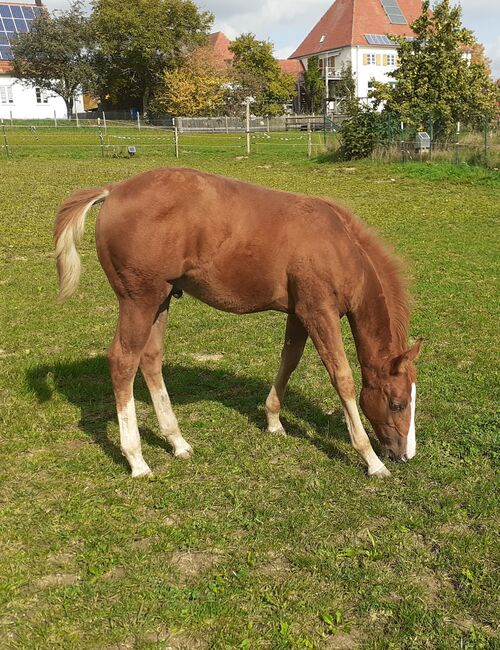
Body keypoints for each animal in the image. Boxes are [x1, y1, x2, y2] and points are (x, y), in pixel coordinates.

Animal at [54, 170, 422, 478]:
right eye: (397, 403)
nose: (405, 455)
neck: (338, 246)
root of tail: (113, 191)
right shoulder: (319, 312)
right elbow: (342, 378)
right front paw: (370, 459)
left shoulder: (298, 313)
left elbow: (289, 361)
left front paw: (273, 421)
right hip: (139, 301)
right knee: (123, 361)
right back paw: (136, 459)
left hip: (160, 299)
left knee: (150, 358)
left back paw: (177, 442)